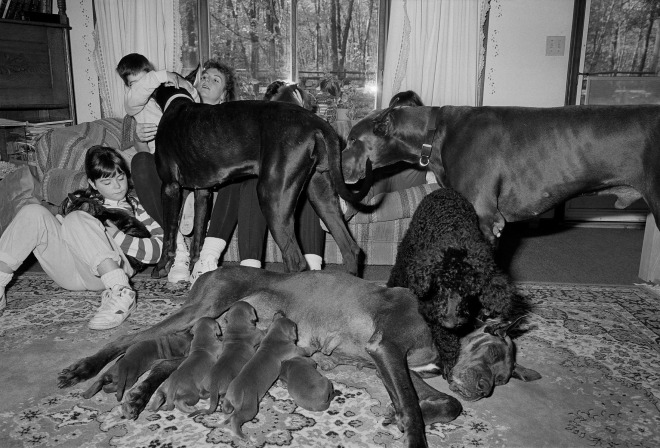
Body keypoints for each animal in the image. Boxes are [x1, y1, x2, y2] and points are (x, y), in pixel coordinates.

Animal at [59, 268, 540, 446]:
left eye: (505, 376)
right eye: (492, 349)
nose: (486, 389)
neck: (445, 330)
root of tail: (210, 270)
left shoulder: (385, 362)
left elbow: (440, 402)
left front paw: (394, 415)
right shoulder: (388, 349)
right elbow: (415, 407)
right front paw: (411, 427)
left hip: (208, 337)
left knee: (162, 361)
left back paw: (140, 396)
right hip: (200, 311)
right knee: (131, 338)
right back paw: (83, 370)